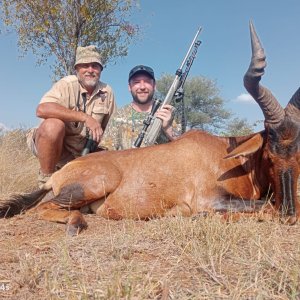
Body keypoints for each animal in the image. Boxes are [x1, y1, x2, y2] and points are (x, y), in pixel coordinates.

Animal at [0, 22, 298, 236]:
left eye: (298, 154)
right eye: (269, 153)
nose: (290, 214)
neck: (225, 154)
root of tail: (60, 173)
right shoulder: (209, 199)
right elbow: (263, 207)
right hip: (94, 184)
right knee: (40, 208)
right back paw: (76, 224)